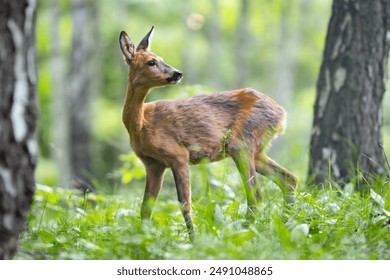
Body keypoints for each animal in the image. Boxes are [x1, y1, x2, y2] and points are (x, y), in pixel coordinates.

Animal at [119, 26, 296, 241]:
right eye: (151, 62)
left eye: (160, 58)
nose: (177, 73)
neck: (141, 125)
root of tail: (282, 114)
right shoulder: (153, 164)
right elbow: (145, 208)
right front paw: (142, 239)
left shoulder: (178, 155)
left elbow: (185, 203)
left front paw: (194, 241)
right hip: (257, 151)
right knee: (288, 179)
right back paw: (285, 225)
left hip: (241, 143)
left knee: (256, 194)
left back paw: (241, 233)